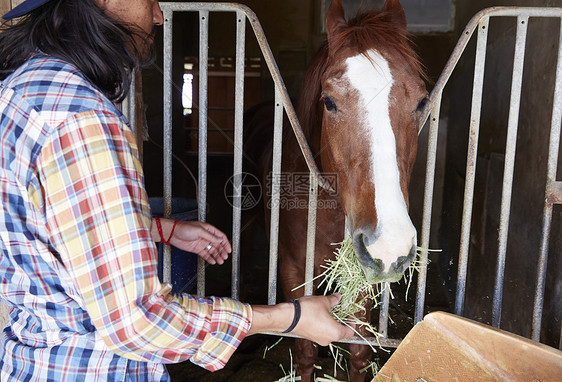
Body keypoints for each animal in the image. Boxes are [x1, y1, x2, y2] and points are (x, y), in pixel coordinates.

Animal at [245, 0, 424, 378]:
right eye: (329, 101)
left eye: (420, 102)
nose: (390, 244)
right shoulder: (293, 269)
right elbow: (305, 349)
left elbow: (358, 350)